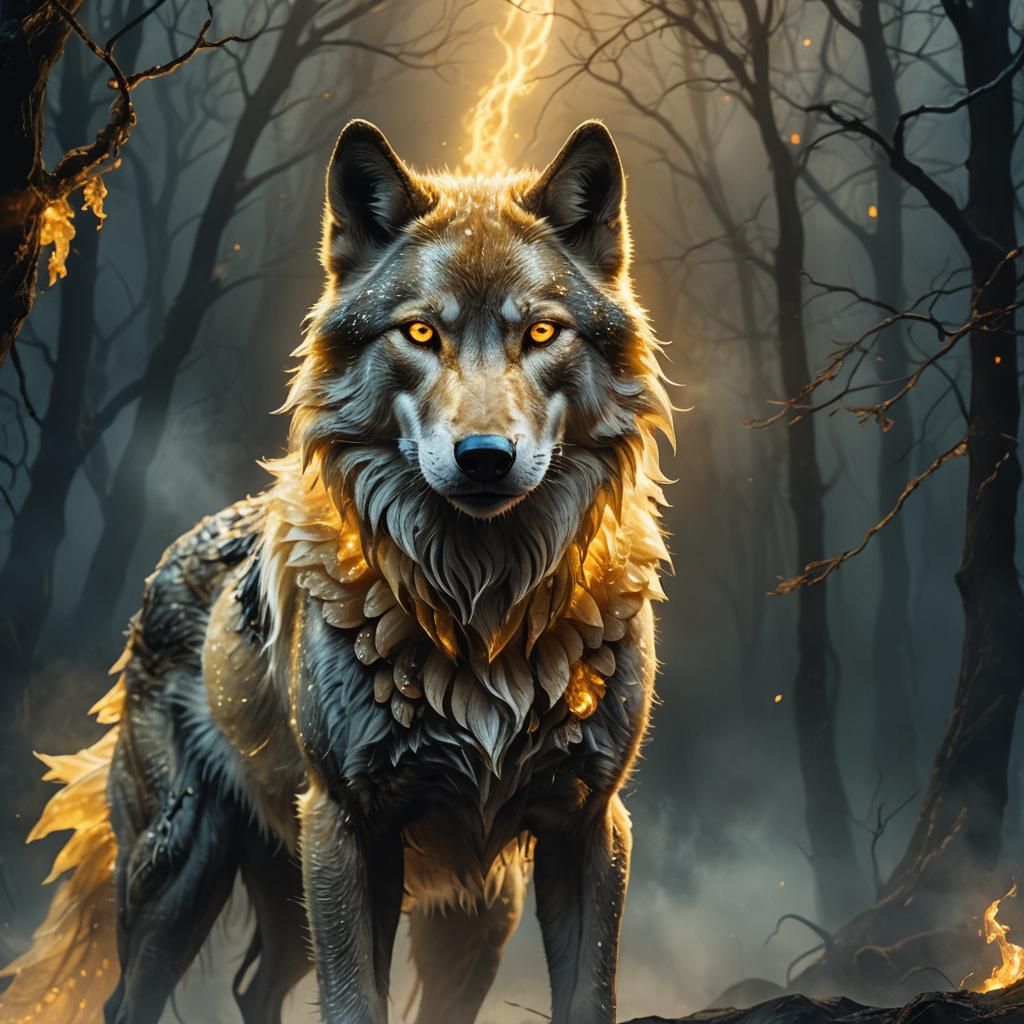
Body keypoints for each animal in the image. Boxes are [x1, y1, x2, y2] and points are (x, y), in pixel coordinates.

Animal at [0, 119, 672, 1024]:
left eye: (540, 334)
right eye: (421, 334)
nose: (485, 458)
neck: (481, 605)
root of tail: (163, 566)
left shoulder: (587, 823)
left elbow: (588, 996)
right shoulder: (347, 825)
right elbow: (354, 1002)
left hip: (455, 912)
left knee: (254, 985)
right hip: (188, 865)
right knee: (128, 998)